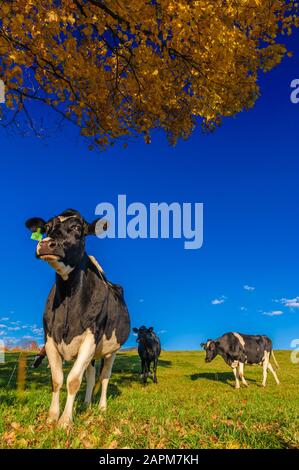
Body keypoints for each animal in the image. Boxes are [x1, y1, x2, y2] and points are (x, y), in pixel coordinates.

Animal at [24, 207, 130, 428]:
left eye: (77, 228)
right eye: (47, 227)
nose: (46, 243)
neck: (67, 301)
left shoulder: (91, 336)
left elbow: (73, 380)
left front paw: (65, 421)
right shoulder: (50, 338)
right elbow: (57, 379)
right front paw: (52, 417)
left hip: (112, 350)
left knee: (104, 376)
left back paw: (101, 408)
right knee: (90, 375)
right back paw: (87, 404)